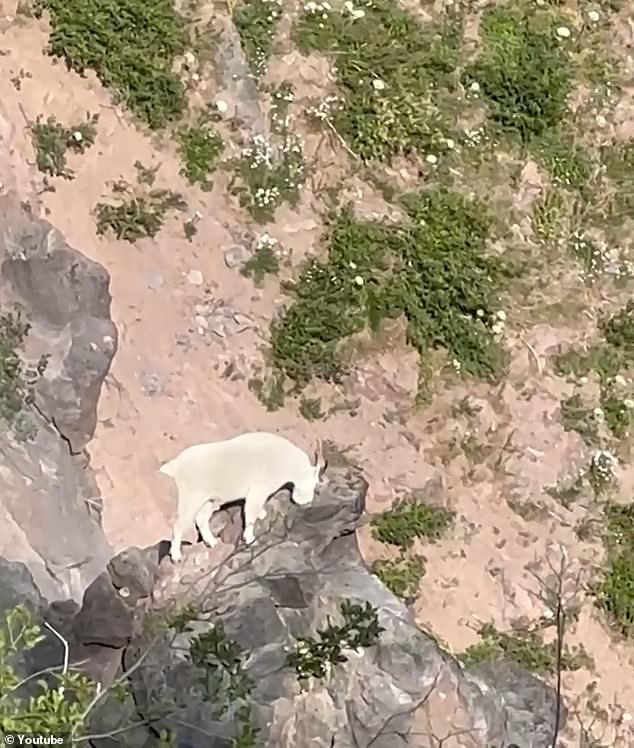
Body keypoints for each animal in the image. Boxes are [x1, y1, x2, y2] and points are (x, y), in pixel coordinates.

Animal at [158, 432, 326, 560]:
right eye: (314, 483)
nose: (307, 501)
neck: (284, 461)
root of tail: (176, 464)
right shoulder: (259, 489)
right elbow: (250, 514)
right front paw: (250, 539)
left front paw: (262, 514)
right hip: (192, 496)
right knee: (179, 522)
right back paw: (176, 555)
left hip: (209, 499)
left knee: (201, 518)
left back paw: (212, 542)